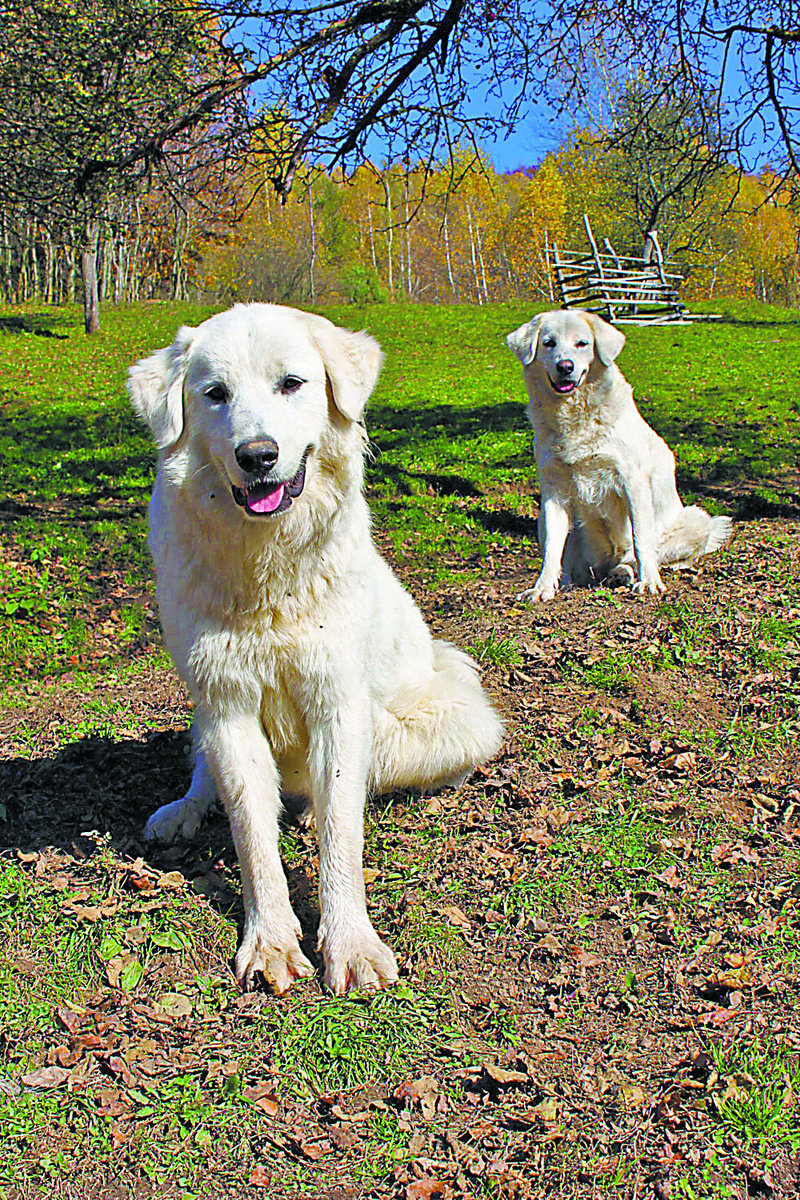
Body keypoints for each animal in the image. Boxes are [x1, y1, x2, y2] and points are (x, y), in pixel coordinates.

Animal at [128, 307, 503, 993]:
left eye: (292, 383)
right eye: (214, 393)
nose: (257, 456)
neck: (266, 562)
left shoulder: (338, 704)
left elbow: (341, 836)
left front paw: (351, 944)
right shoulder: (227, 704)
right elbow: (251, 833)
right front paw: (272, 942)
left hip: (451, 719)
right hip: (204, 712)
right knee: (207, 774)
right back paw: (186, 809)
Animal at [506, 309, 734, 600]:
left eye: (582, 343)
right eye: (548, 343)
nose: (565, 366)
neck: (575, 416)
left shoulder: (632, 481)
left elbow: (641, 539)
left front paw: (649, 581)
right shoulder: (553, 491)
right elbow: (551, 548)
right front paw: (542, 587)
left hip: (698, 520)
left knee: (650, 556)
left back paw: (628, 572)